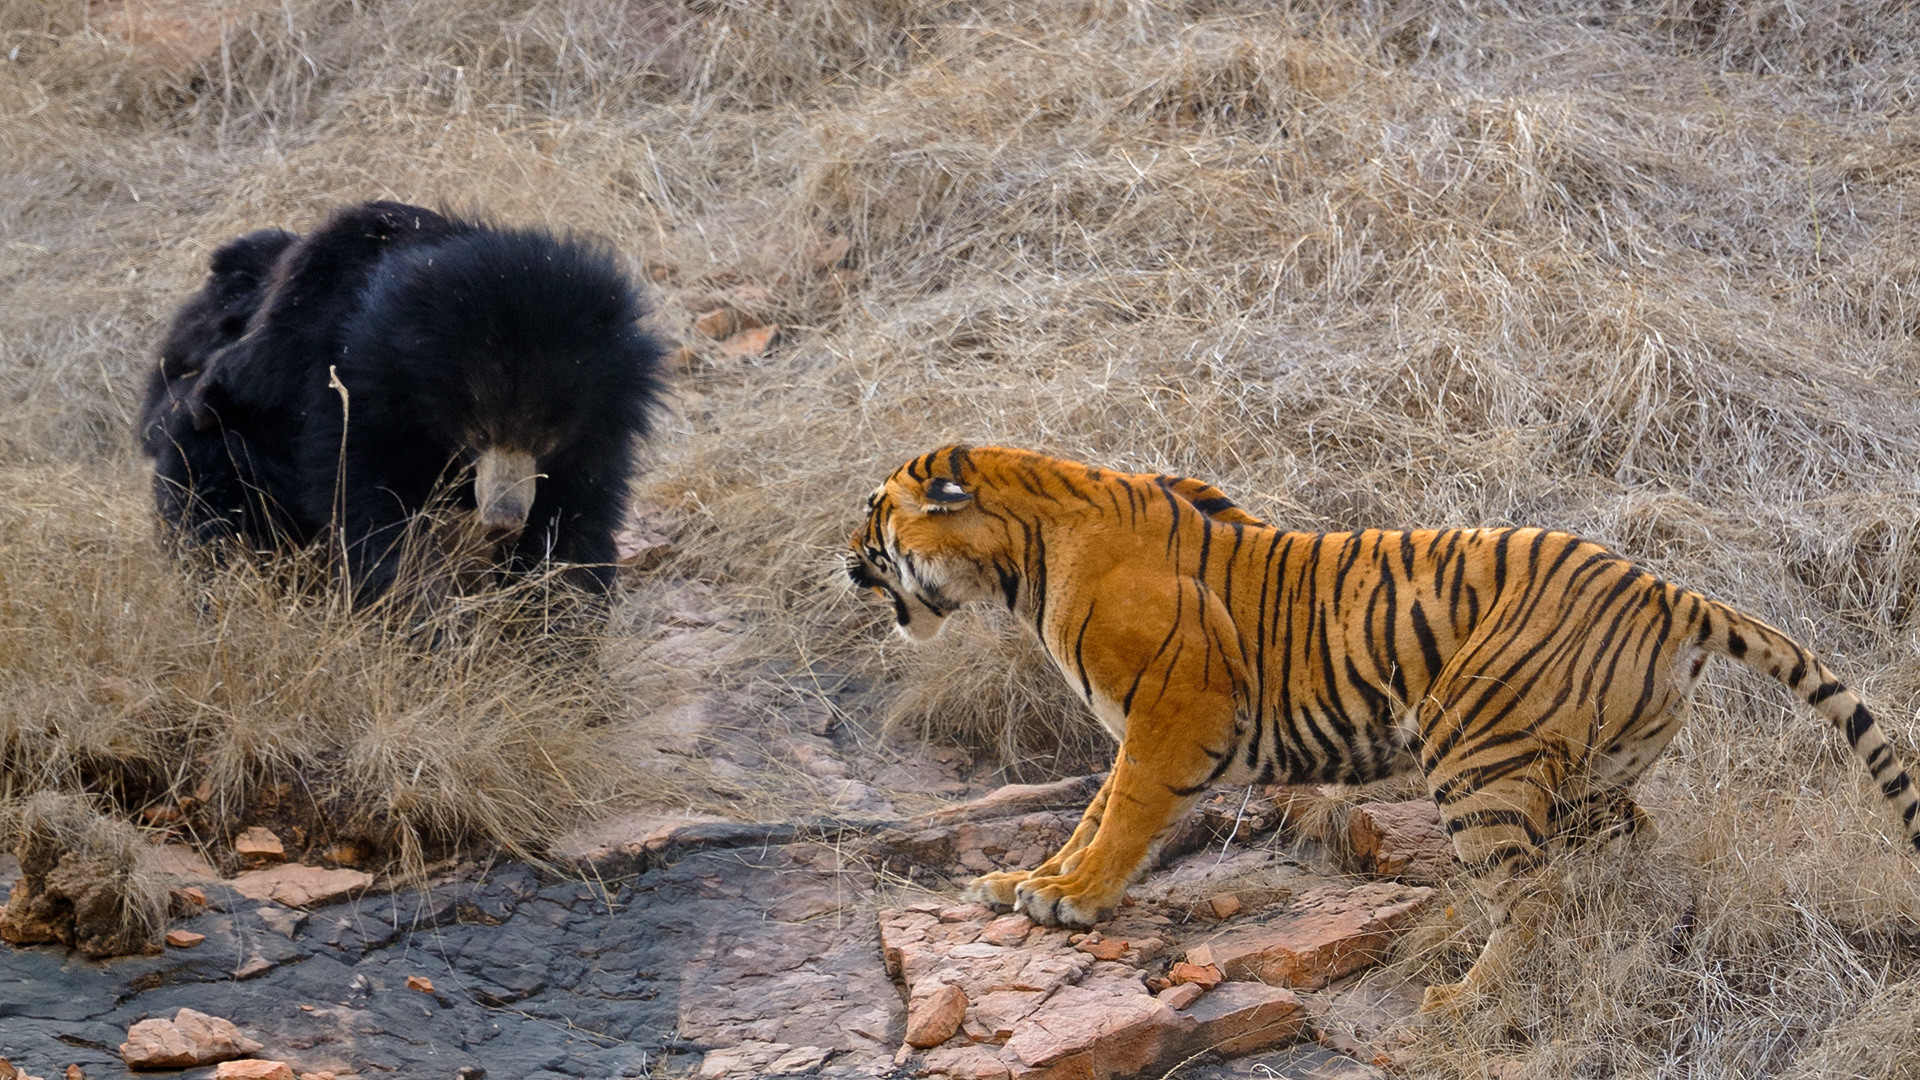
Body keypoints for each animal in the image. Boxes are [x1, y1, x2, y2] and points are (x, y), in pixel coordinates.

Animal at [140, 200, 668, 599]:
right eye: (480, 432)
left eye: (546, 438)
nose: (503, 520)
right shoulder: (354, 397)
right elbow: (374, 510)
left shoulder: (598, 434)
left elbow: (575, 519)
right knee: (208, 481)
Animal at [852, 441, 1920, 1006]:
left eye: (873, 516)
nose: (843, 561)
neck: (1022, 561)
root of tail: (1669, 591)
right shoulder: (1142, 728)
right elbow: (1092, 815)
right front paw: (1028, 881)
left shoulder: (1172, 717)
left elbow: (1119, 818)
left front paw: (1070, 901)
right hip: (1589, 772)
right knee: (1624, 847)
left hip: (1471, 748)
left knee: (1528, 892)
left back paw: (1466, 998)